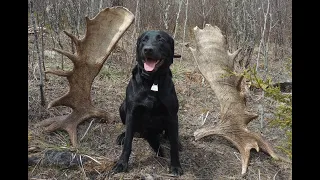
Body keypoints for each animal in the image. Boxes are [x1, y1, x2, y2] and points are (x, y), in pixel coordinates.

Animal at [112, 30, 182, 176]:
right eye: (143, 40)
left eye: (161, 40)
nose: (148, 49)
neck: (152, 82)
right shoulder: (132, 112)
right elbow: (128, 143)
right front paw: (122, 163)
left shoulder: (172, 115)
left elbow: (173, 145)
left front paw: (175, 166)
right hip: (122, 107)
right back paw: (123, 136)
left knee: (169, 135)